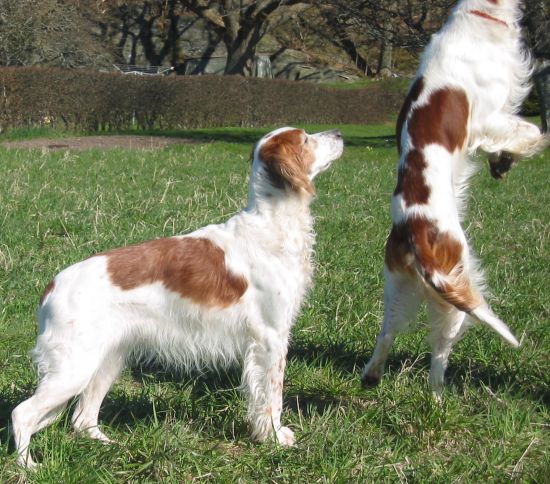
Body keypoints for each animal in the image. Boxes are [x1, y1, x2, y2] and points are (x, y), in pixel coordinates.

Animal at [12, 126, 344, 466]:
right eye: (305, 139)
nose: (338, 133)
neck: (271, 224)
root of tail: (52, 285)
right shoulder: (271, 338)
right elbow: (272, 397)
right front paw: (276, 438)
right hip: (74, 368)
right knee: (21, 413)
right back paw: (28, 466)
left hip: (106, 362)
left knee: (82, 420)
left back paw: (110, 447)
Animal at [362, 0, 550, 394]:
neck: (481, 15)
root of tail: (414, 231)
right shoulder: (490, 116)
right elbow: (529, 129)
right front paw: (514, 154)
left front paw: (502, 161)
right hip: (454, 290)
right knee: (439, 353)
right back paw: (438, 396)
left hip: (397, 286)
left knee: (387, 332)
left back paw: (371, 375)